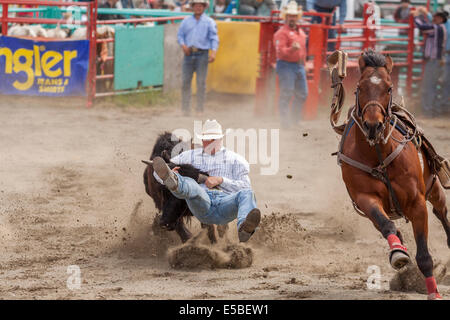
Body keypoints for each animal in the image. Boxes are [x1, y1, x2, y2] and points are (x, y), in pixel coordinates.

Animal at [340, 50, 448, 300]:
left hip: (435, 190)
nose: (373, 125)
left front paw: (434, 293)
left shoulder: (418, 203)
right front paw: (398, 253)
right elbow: (387, 226)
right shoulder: (366, 198)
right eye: (359, 86)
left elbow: (424, 256)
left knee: (442, 212)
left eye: (389, 87)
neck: (379, 155)